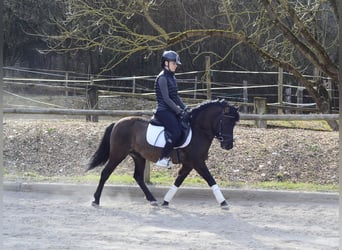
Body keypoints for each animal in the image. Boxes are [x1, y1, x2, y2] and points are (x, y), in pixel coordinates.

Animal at [87, 98, 239, 208]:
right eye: (226, 122)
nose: (228, 145)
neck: (198, 130)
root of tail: (117, 122)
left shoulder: (189, 164)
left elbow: (178, 181)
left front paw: (166, 201)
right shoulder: (197, 162)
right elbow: (210, 179)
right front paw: (223, 202)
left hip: (138, 156)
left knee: (138, 177)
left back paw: (152, 200)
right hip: (118, 154)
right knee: (105, 173)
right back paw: (96, 200)